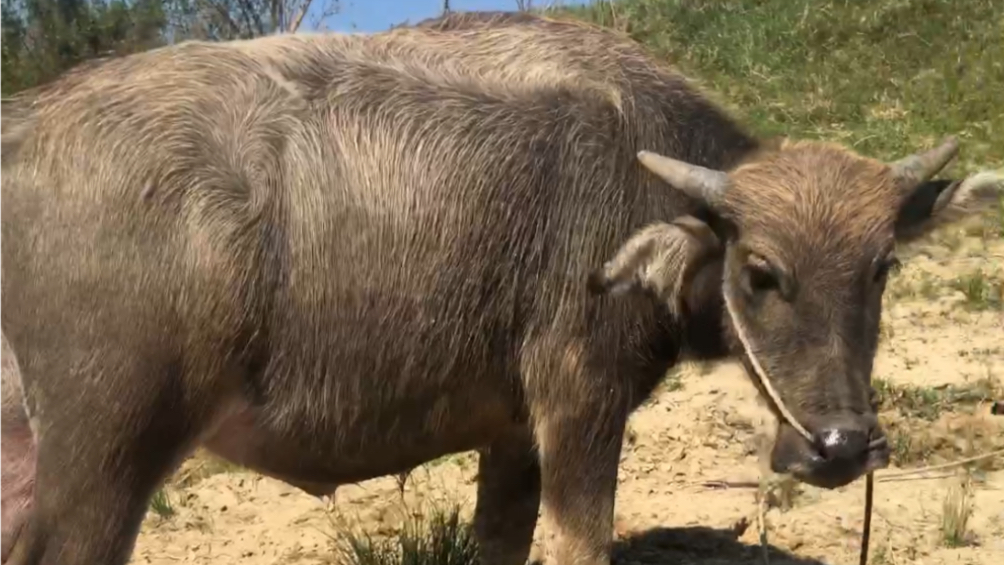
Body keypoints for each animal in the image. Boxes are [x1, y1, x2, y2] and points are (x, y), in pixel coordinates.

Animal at [1, 8, 1003, 565]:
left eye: (882, 267)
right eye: (760, 272)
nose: (842, 445)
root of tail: (27, 130)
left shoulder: (512, 433)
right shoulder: (580, 407)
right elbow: (579, 546)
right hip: (108, 455)